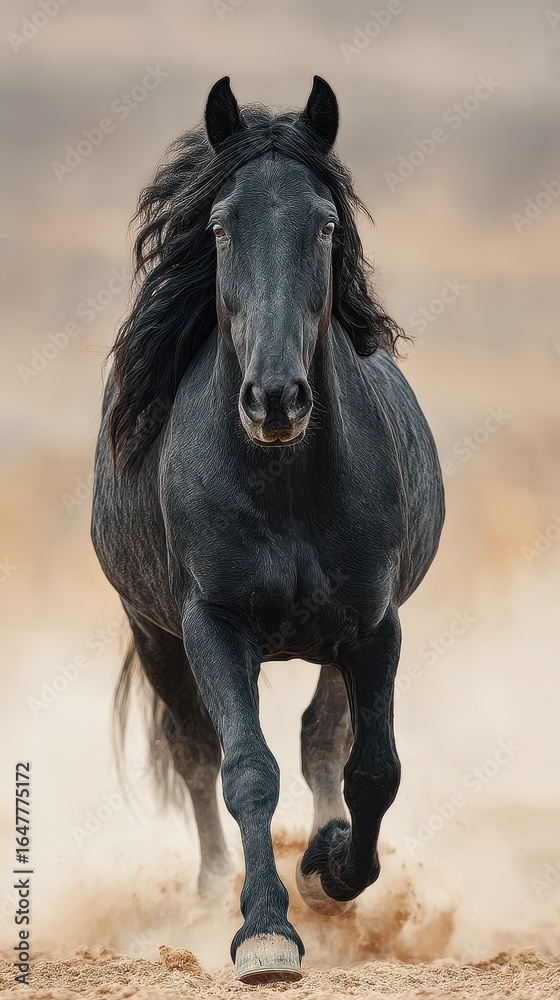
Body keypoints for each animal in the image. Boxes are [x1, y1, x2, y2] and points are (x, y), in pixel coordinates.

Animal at [91, 75, 444, 983]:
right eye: (220, 227)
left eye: (324, 224)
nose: (276, 399)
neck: (284, 487)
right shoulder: (210, 625)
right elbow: (246, 770)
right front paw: (262, 930)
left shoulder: (375, 624)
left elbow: (372, 768)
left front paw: (327, 870)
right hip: (156, 633)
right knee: (196, 753)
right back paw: (214, 889)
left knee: (321, 738)